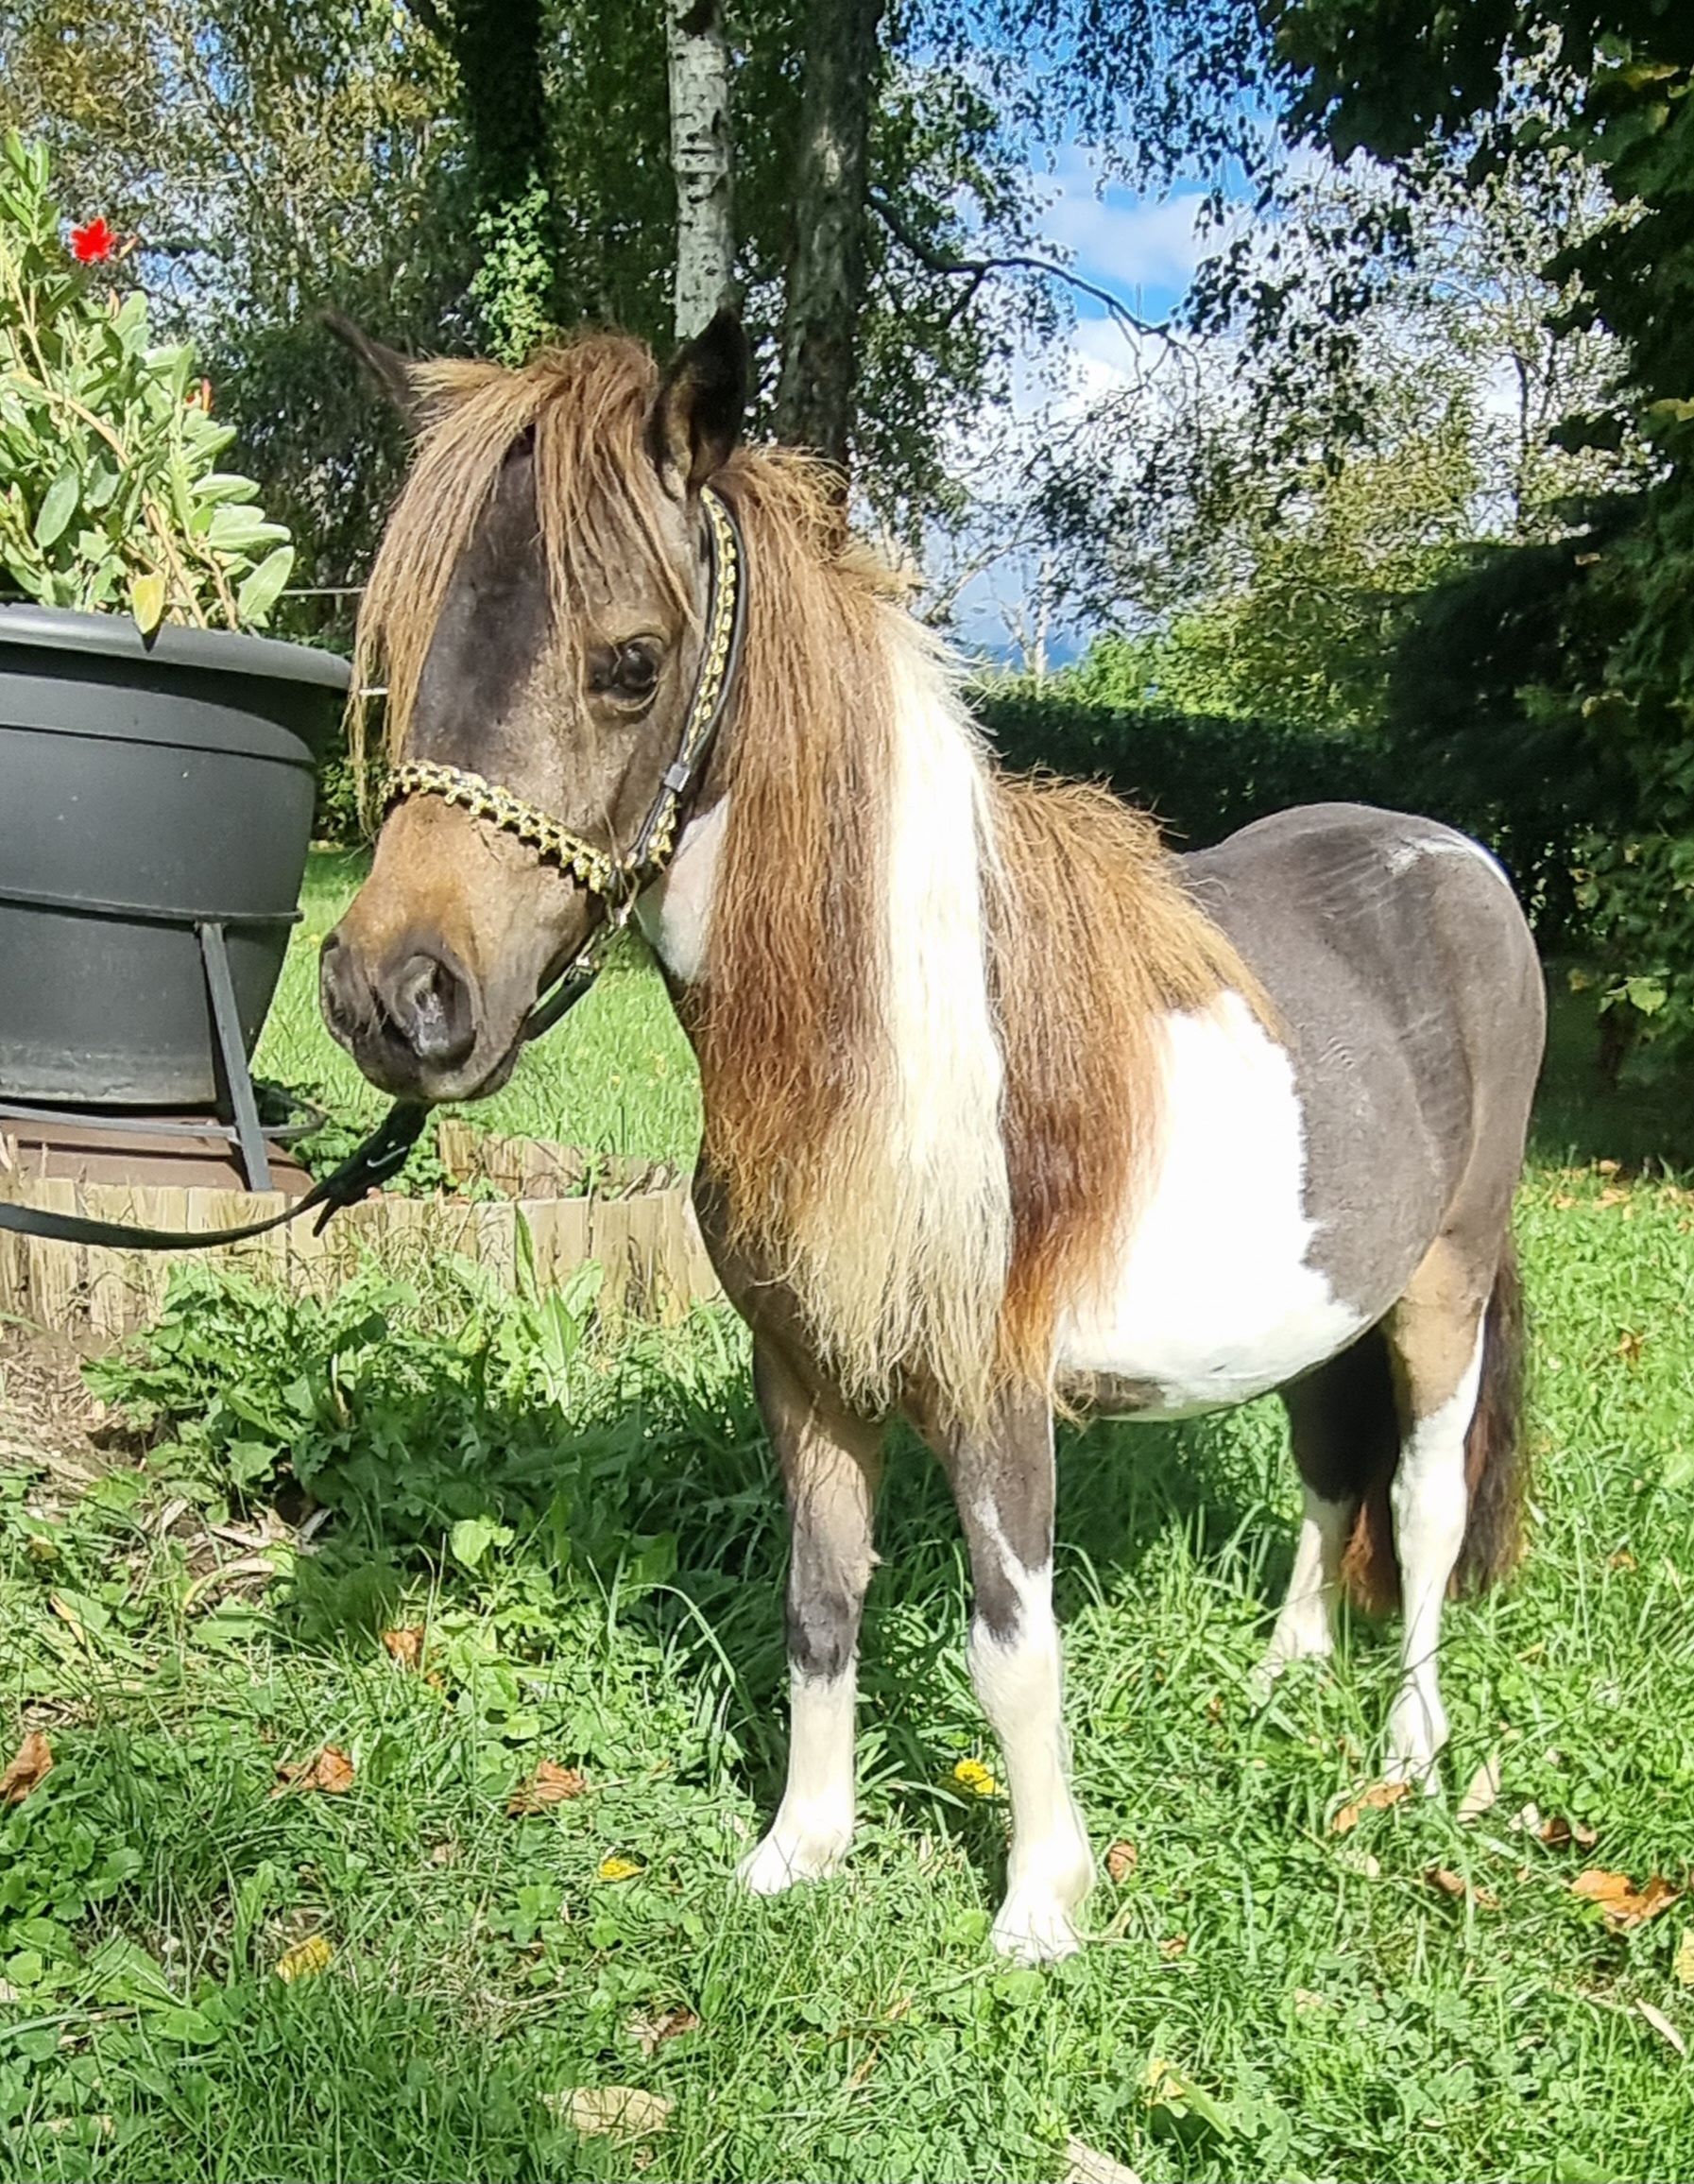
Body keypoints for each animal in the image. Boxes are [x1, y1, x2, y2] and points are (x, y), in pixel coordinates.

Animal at [319, 311, 1546, 1963]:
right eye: (400, 653)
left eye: (631, 661)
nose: (394, 996)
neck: (897, 1045)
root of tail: (1456, 858)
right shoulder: (808, 1371)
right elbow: (817, 1604)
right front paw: (800, 1849)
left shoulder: (992, 1392)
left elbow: (1012, 1645)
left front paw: (1038, 1906)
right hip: (1327, 1293)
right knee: (1320, 1461)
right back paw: (1286, 1665)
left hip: (1442, 1287)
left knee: (1422, 1499)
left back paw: (1408, 1751)